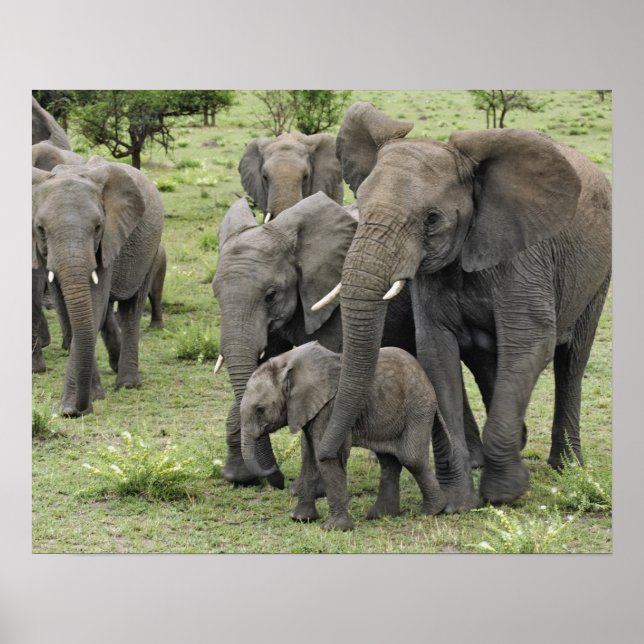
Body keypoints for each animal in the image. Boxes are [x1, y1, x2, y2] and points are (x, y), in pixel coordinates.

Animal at [32, 156, 164, 416]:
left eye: (98, 228)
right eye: (41, 229)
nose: (77, 410)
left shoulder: (109, 241)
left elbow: (93, 305)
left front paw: (74, 407)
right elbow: (67, 309)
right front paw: (89, 399)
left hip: (151, 249)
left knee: (131, 308)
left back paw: (127, 383)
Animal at [212, 192, 417, 490]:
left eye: (271, 295)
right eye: (215, 294)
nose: (277, 478)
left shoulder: (333, 302)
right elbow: (258, 371)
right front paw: (238, 478)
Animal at [240, 342, 450, 530]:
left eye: (260, 410)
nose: (275, 471)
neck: (288, 363)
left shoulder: (330, 408)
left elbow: (326, 459)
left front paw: (334, 528)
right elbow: (308, 456)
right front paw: (300, 519)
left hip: (418, 406)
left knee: (411, 458)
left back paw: (434, 510)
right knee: (389, 461)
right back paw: (380, 515)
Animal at [316, 102, 611, 508]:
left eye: (432, 219)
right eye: (359, 204)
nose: (326, 455)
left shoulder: (525, 258)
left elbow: (530, 342)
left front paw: (504, 494)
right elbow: (437, 354)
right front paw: (456, 502)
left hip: (598, 275)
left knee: (572, 361)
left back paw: (566, 466)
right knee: (488, 362)